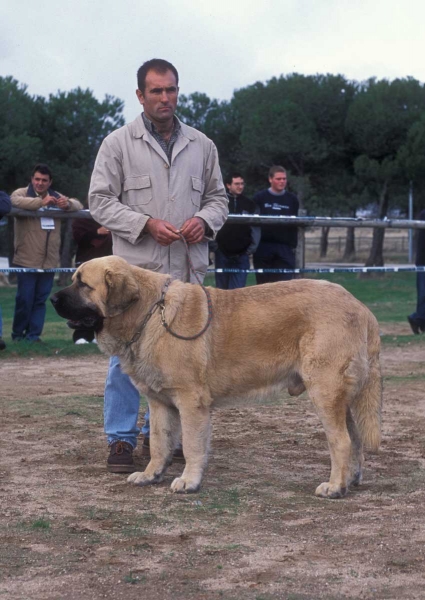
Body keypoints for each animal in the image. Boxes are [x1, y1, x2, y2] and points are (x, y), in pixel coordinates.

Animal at [51, 255, 382, 500]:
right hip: (341, 398)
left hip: (324, 392)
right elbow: (159, 443)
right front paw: (151, 474)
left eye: (83, 284)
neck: (150, 314)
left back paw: (335, 487)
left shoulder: (191, 401)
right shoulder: (160, 403)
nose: (53, 299)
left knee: (341, 441)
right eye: (74, 280)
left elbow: (192, 445)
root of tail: (360, 307)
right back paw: (351, 479)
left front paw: (189, 481)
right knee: (354, 439)